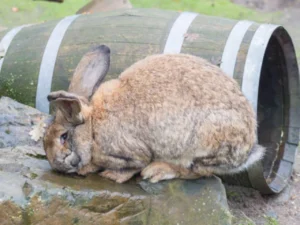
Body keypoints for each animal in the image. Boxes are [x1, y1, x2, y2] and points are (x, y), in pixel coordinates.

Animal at [42, 44, 264, 184]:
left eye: (63, 137)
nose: (57, 165)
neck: (92, 127)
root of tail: (248, 149)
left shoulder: (131, 154)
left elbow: (133, 166)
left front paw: (111, 176)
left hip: (203, 143)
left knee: (197, 171)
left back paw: (157, 171)